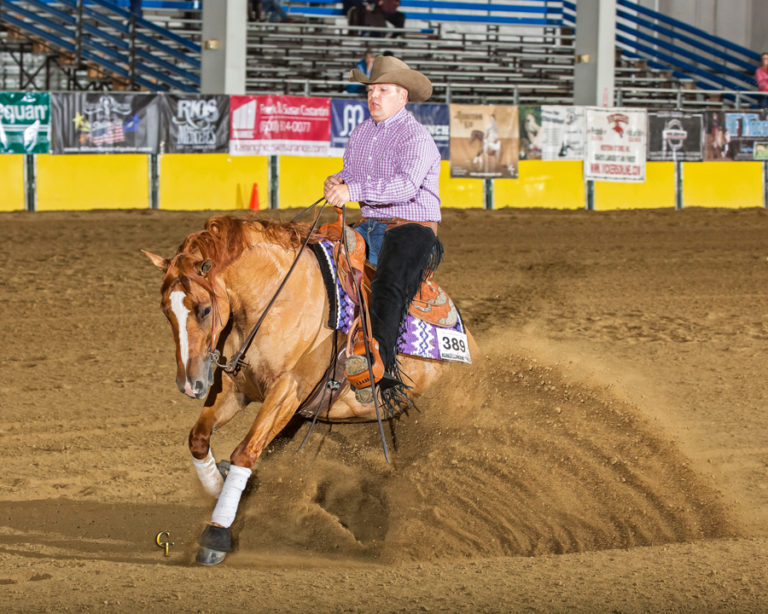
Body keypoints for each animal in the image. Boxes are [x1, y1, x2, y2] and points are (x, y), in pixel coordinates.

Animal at [140, 215, 472, 568]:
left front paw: (216, 533)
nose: (190, 385)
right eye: (165, 310)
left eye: (204, 309)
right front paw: (219, 489)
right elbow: (199, 439)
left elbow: (246, 451)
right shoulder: (232, 389)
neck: (275, 301)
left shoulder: (288, 390)